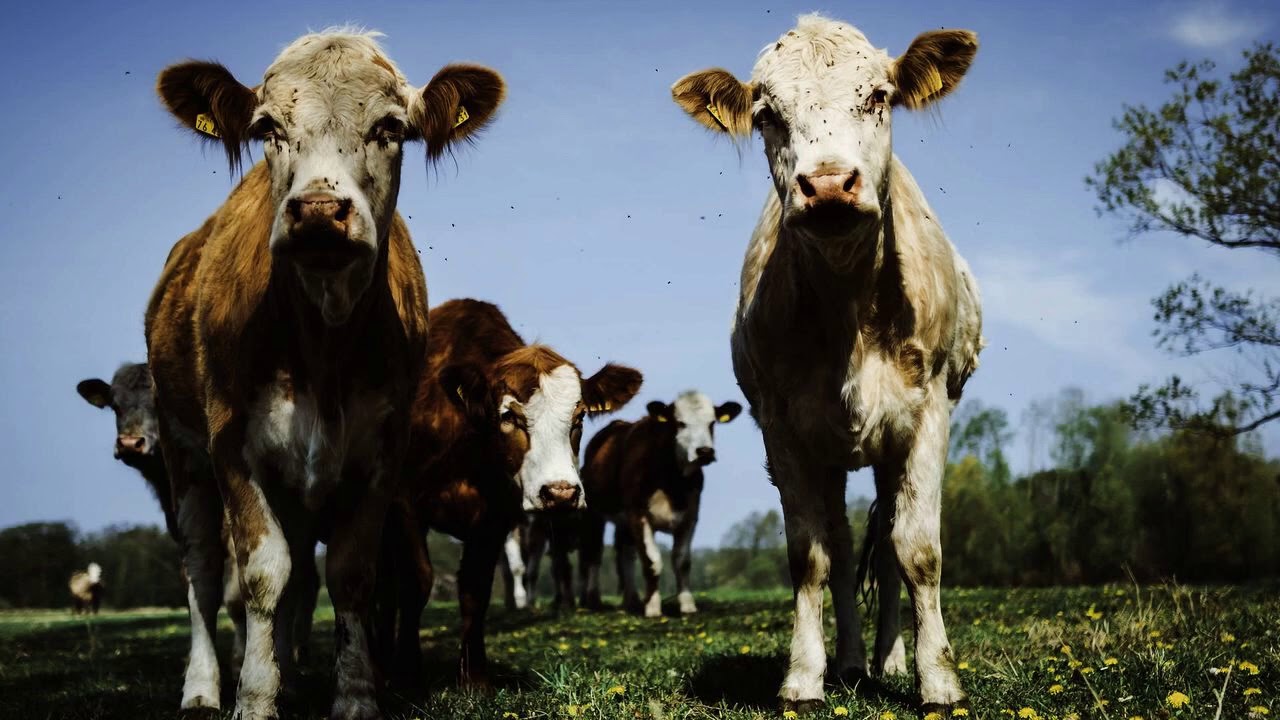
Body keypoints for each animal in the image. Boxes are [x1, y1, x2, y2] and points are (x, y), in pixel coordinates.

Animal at [146, 30, 502, 720]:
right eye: (267, 127)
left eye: (391, 127)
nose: (316, 210)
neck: (323, 347)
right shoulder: (230, 445)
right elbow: (262, 574)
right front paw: (255, 700)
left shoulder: (383, 456)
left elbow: (350, 575)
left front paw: (355, 695)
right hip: (184, 458)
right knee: (203, 573)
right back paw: (203, 687)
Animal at [372, 298, 642, 687]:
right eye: (508, 417)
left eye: (578, 419)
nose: (560, 493)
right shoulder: (403, 505)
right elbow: (414, 582)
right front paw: (407, 673)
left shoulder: (494, 518)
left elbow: (475, 589)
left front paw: (474, 678)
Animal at [535, 392, 741, 617]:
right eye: (680, 423)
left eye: (712, 423)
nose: (704, 451)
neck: (672, 483)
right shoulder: (639, 515)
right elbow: (652, 562)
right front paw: (652, 608)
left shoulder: (689, 518)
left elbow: (682, 562)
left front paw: (687, 606)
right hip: (596, 517)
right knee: (594, 555)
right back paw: (593, 600)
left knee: (626, 554)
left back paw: (631, 600)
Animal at [671, 14, 983, 714]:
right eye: (767, 115)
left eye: (879, 97)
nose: (831, 183)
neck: (849, 315)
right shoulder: (782, 426)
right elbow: (809, 556)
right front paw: (803, 678)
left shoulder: (929, 413)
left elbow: (918, 550)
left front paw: (938, 680)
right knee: (842, 548)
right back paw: (850, 663)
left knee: (889, 547)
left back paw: (890, 661)